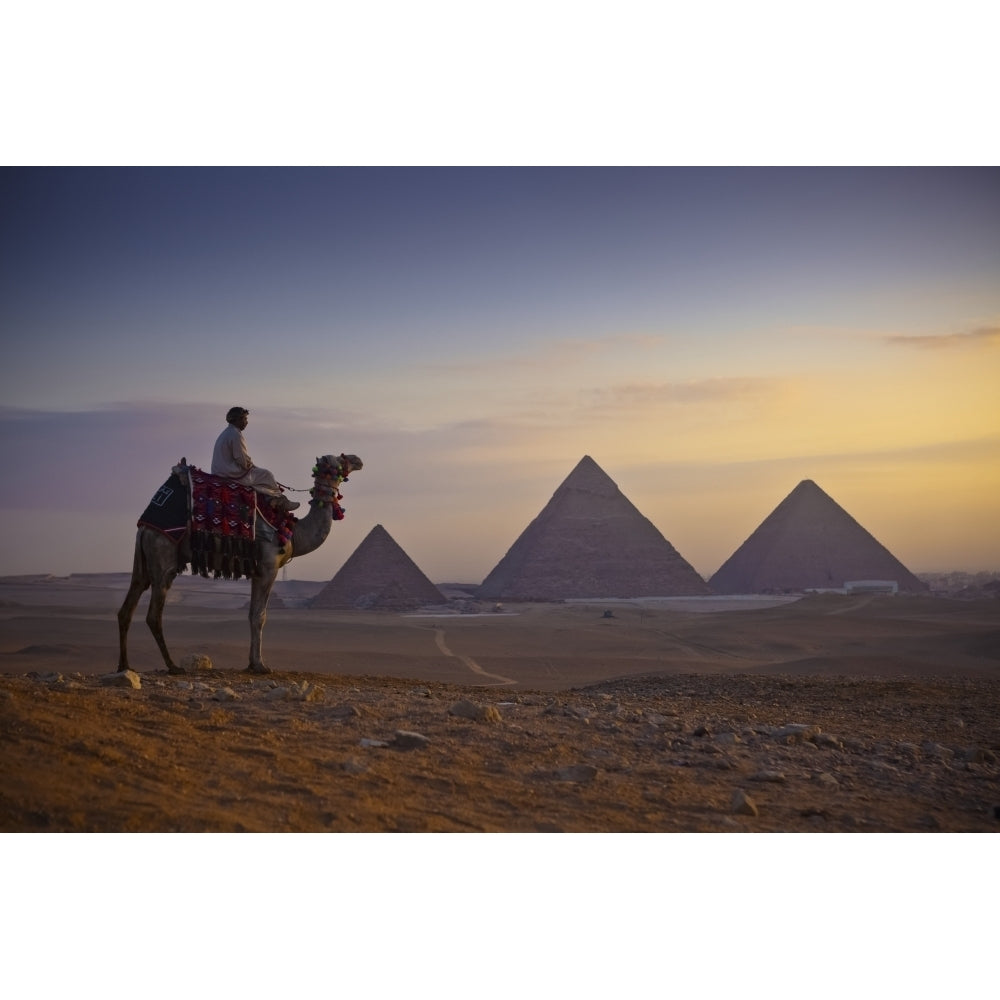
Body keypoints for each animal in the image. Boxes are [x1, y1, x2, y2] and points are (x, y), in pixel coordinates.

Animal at [116, 456, 362, 676]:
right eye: (339, 459)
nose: (358, 460)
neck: (292, 531)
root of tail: (145, 524)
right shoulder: (269, 567)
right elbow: (260, 616)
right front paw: (261, 665)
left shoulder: (257, 571)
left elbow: (252, 614)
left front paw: (253, 663)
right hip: (164, 554)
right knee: (153, 614)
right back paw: (173, 666)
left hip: (143, 558)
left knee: (127, 607)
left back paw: (124, 666)